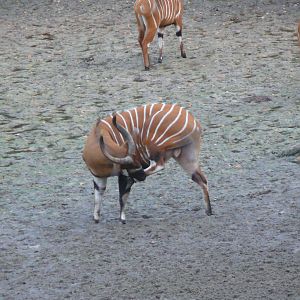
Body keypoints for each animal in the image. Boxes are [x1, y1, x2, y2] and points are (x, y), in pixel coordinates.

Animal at [83, 103, 212, 223]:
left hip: (156, 149)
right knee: (201, 179)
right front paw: (96, 219)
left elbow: (122, 196)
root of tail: (193, 122)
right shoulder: (99, 177)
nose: (141, 176)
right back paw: (208, 211)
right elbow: (98, 196)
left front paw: (122, 219)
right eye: (131, 165)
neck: (97, 136)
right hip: (186, 157)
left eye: (136, 162)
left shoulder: (123, 175)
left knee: (160, 165)